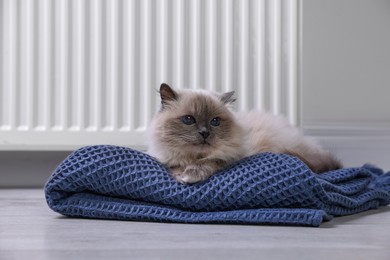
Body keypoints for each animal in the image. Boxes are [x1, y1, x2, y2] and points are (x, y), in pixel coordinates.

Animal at [146, 84, 342, 184]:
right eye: (188, 119)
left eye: (215, 121)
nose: (204, 133)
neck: (194, 158)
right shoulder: (169, 158)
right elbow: (175, 165)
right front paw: (181, 175)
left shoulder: (232, 157)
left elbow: (212, 162)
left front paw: (188, 177)